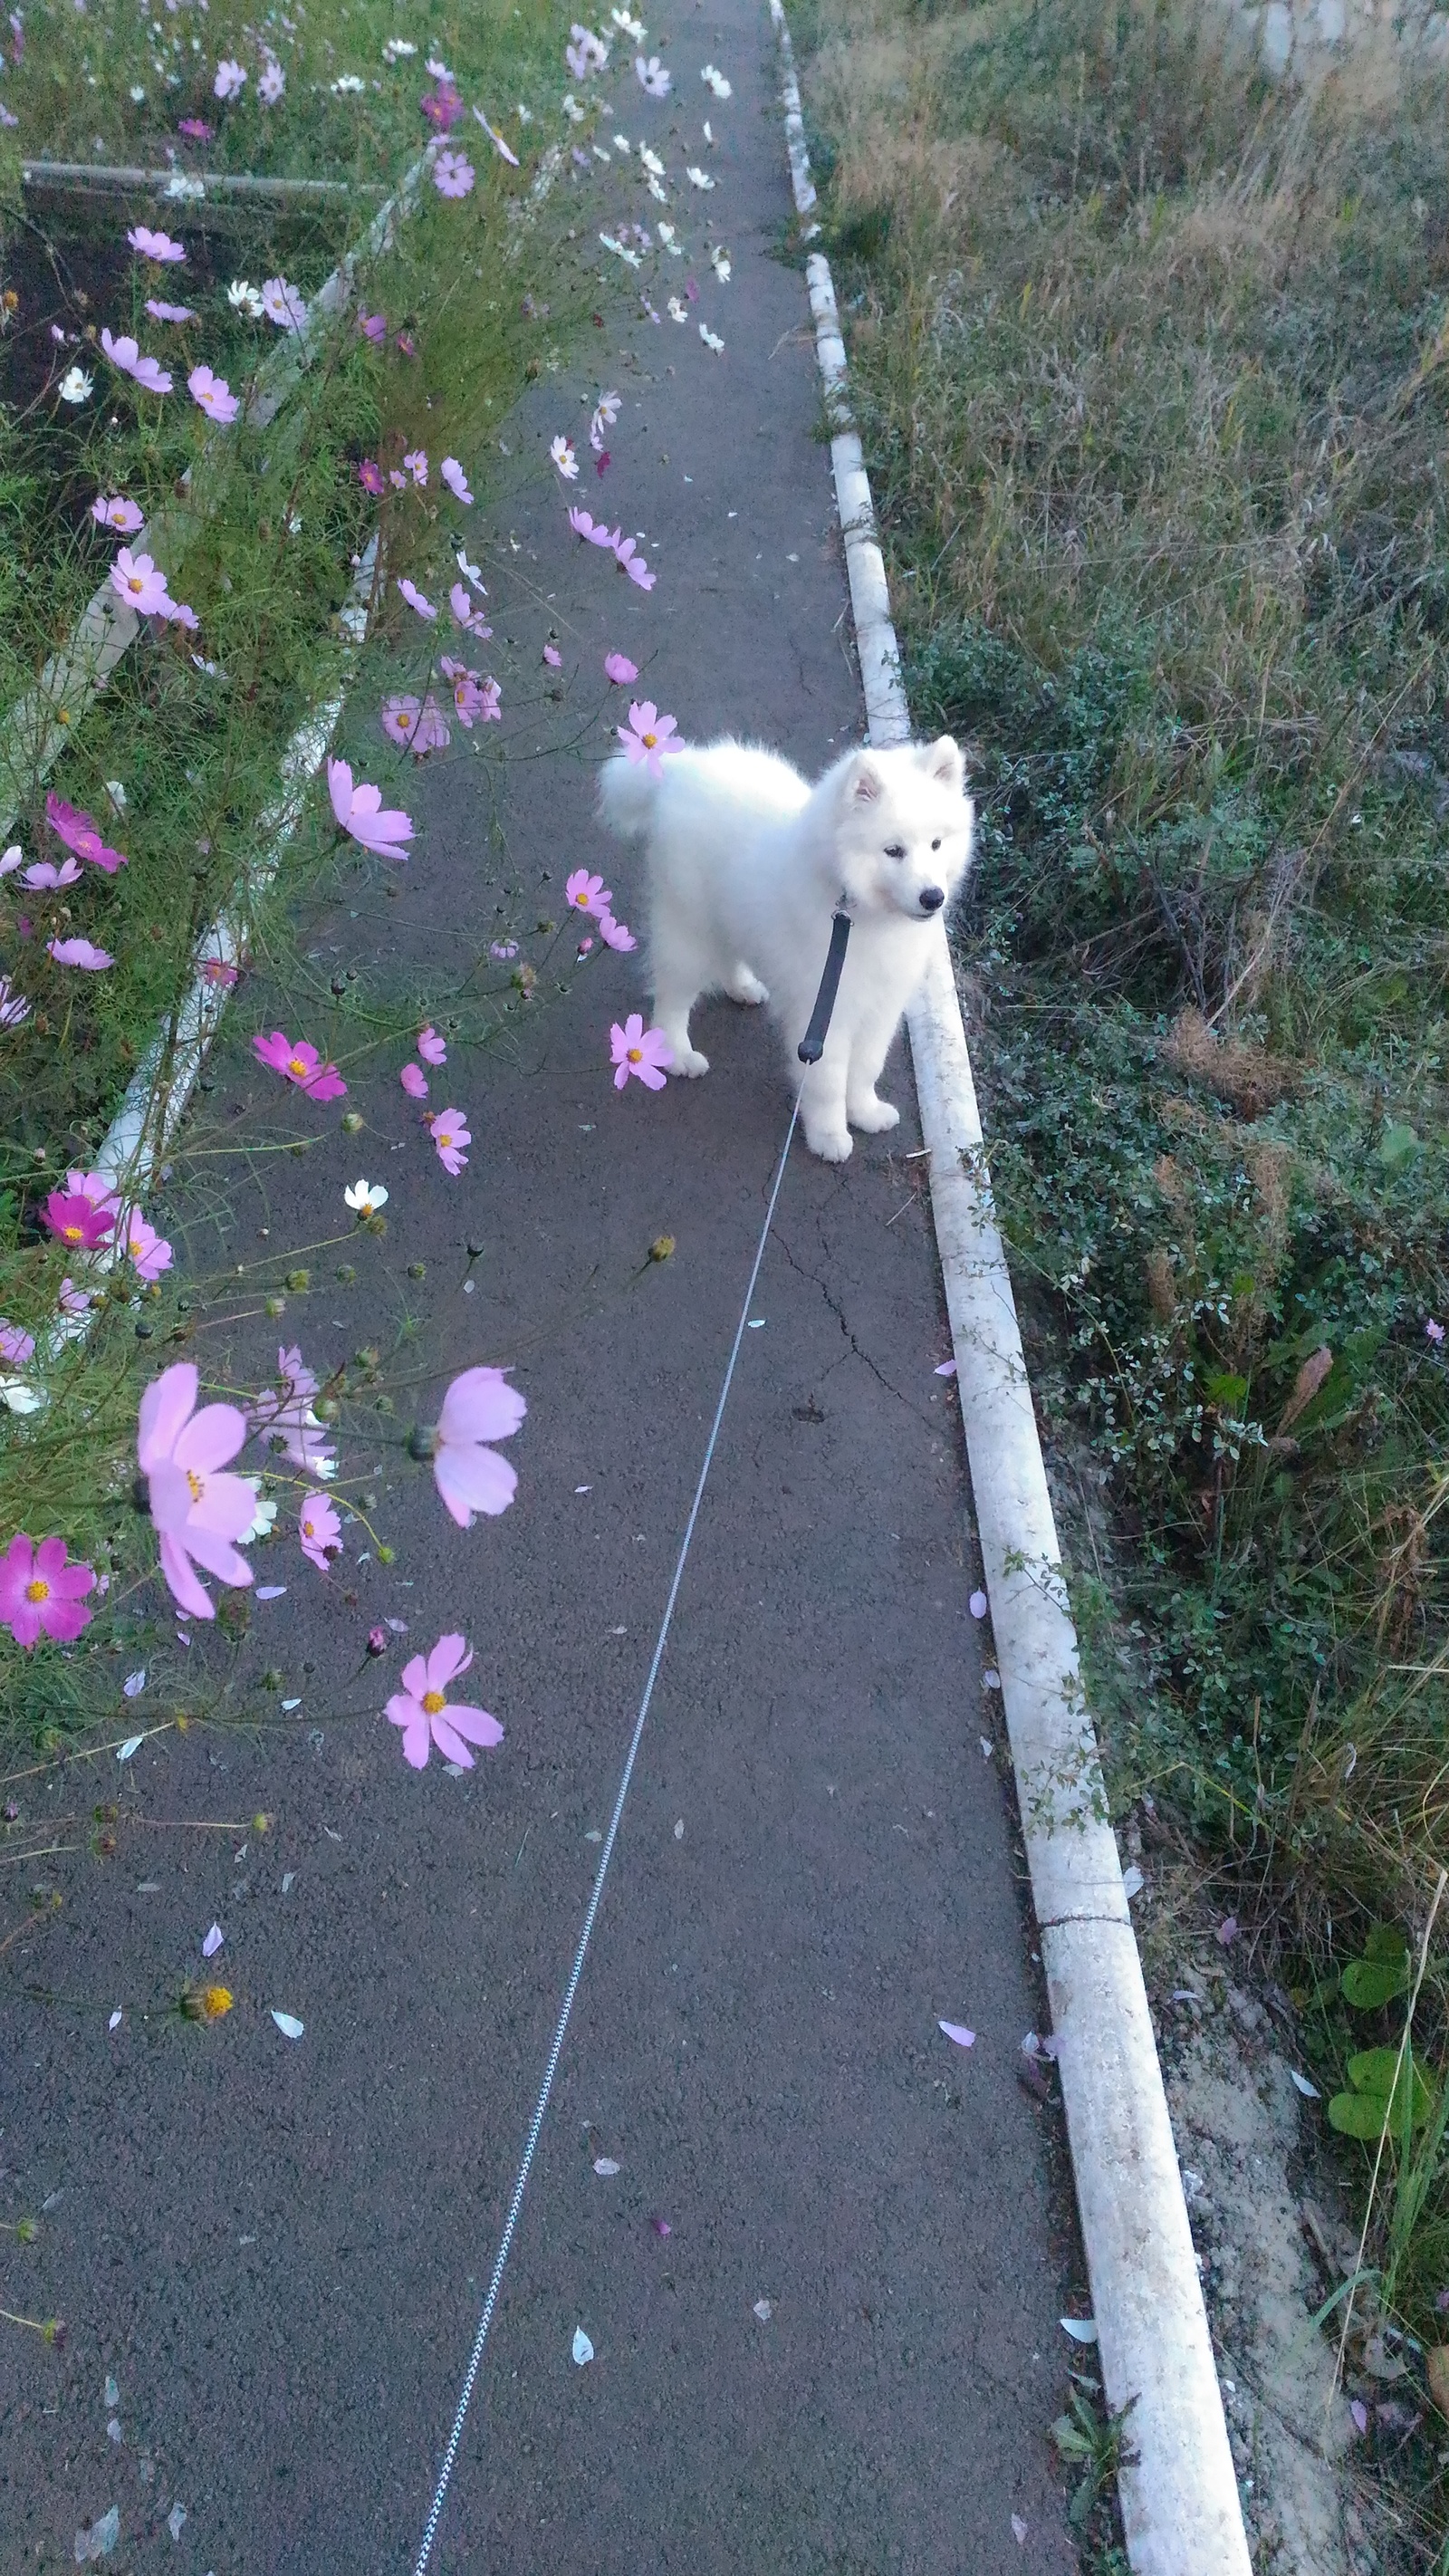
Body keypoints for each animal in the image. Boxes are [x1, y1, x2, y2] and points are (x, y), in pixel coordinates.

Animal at [602, 731, 973, 1164]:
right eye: (893, 851)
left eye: (936, 844)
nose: (933, 897)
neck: (859, 914)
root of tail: (683, 769)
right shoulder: (827, 1011)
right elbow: (827, 1081)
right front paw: (829, 1136)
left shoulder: (881, 1009)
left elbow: (867, 1068)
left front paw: (865, 1112)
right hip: (689, 930)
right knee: (672, 999)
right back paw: (678, 1055)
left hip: (729, 915)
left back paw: (743, 988)